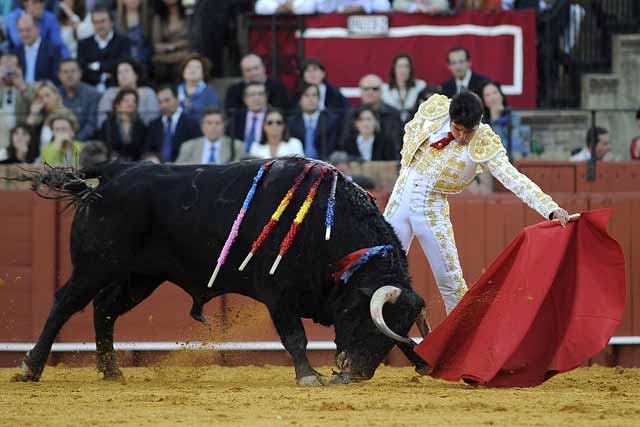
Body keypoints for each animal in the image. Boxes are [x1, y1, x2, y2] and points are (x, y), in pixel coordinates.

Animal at [12, 159, 430, 386]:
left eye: (393, 330)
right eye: (363, 318)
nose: (356, 373)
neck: (325, 226)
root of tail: (116, 170)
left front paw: (423, 363)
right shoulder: (278, 292)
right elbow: (295, 336)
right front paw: (309, 376)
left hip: (140, 277)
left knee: (104, 308)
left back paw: (111, 370)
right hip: (96, 264)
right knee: (64, 304)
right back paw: (31, 367)